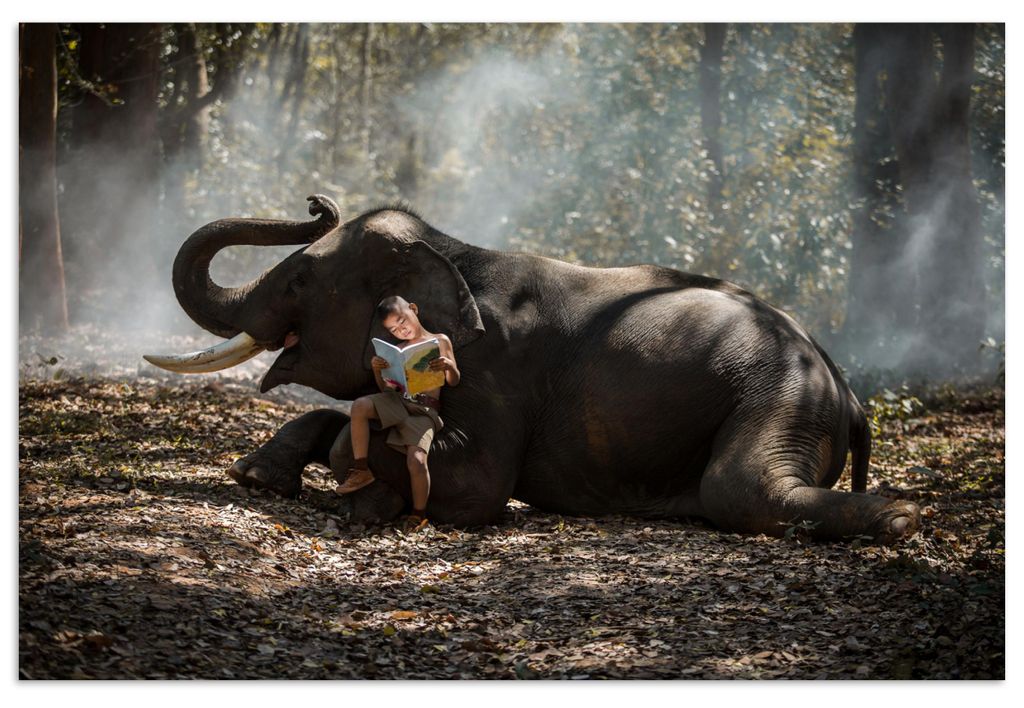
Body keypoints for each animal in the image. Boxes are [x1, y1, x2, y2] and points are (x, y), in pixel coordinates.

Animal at [145, 194, 920, 543]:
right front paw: (257, 477)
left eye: (302, 280)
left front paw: (364, 500)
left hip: (780, 397)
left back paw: (899, 516)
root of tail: (847, 390)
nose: (316, 203)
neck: (453, 250)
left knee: (741, 487)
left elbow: (478, 485)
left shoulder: (495, 366)